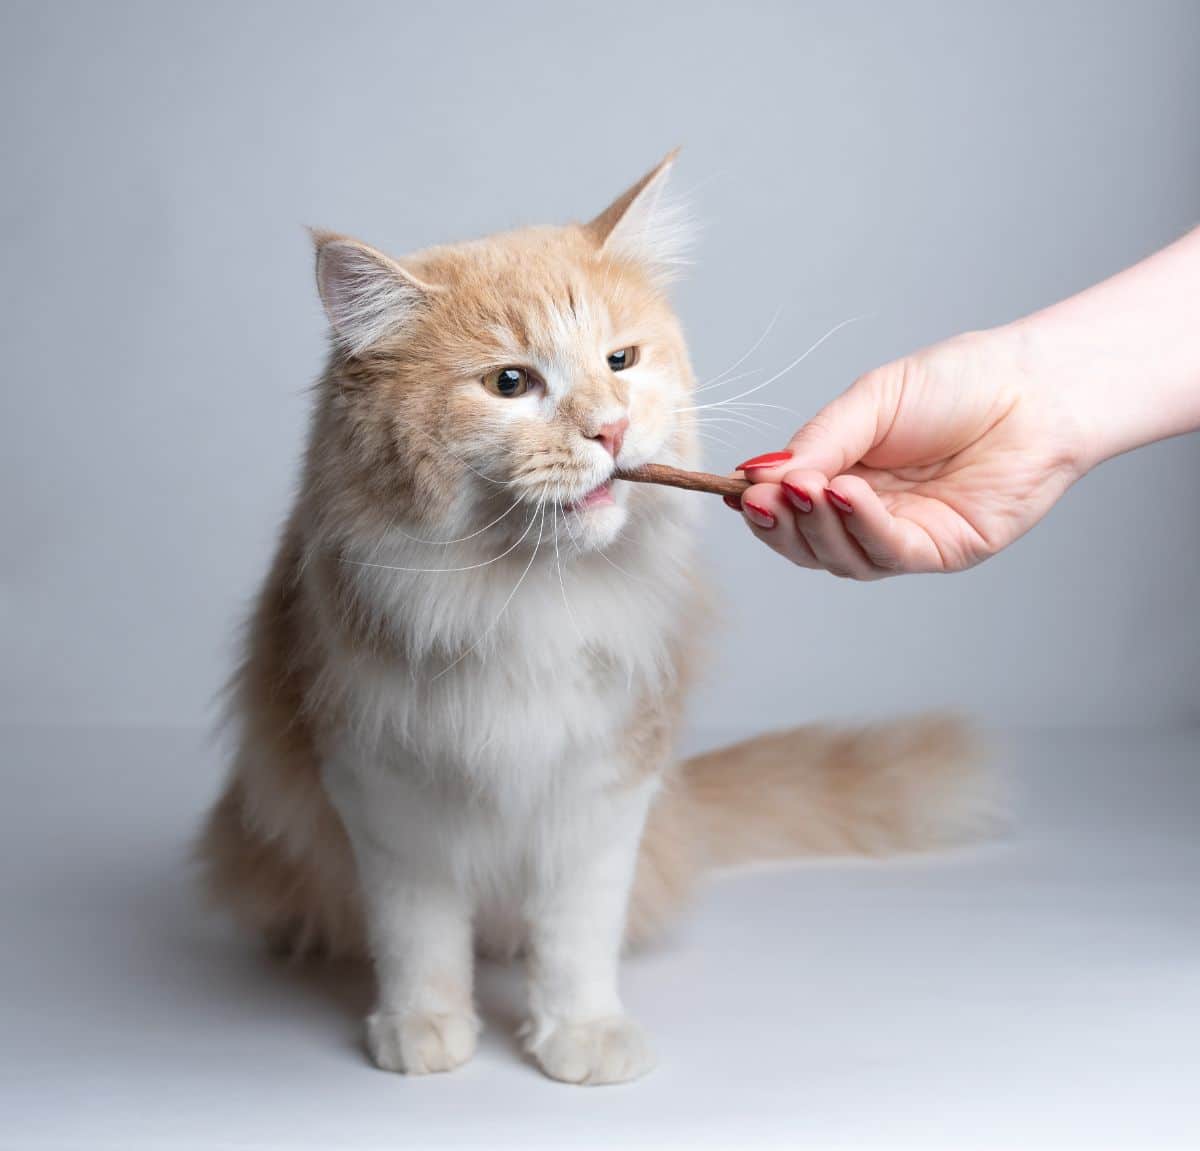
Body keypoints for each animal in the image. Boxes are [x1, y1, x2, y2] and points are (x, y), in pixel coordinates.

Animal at [194, 154, 984, 1089]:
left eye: (621, 359)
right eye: (510, 383)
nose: (610, 429)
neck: (527, 596)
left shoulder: (604, 784)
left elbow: (575, 935)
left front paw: (581, 1033)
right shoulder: (385, 786)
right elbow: (419, 934)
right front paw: (425, 1027)